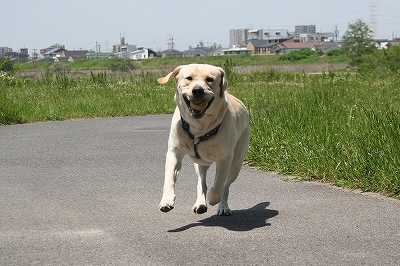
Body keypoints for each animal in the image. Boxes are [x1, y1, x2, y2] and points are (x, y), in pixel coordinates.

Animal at [157, 64, 248, 216]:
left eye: (209, 79)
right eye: (189, 78)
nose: (198, 90)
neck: (199, 127)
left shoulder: (224, 159)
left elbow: (218, 185)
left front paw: (213, 198)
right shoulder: (174, 153)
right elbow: (169, 178)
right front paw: (167, 200)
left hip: (236, 164)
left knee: (226, 185)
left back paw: (222, 206)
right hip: (199, 164)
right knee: (201, 182)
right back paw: (200, 203)